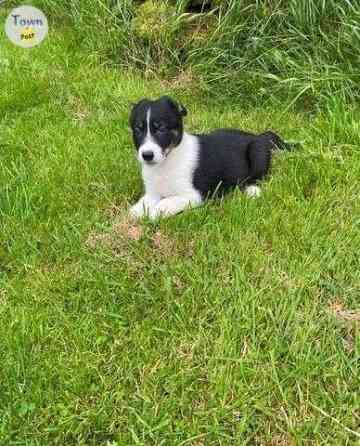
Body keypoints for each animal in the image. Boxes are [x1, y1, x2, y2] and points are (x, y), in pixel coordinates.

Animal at [129, 96, 290, 220]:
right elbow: (143, 203)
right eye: (138, 129)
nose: (147, 155)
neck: (166, 162)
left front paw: (155, 213)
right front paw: (135, 213)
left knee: (256, 177)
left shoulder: (195, 195)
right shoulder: (153, 192)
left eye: (161, 128)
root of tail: (260, 136)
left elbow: (166, 202)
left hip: (257, 152)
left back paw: (252, 191)